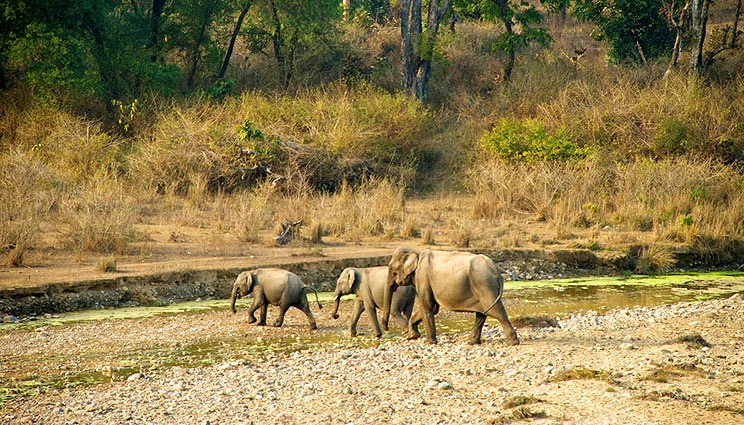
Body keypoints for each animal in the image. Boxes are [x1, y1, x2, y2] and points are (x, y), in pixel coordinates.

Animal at [380, 248, 520, 344]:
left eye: (390, 268)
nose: (386, 328)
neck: (416, 252)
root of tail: (496, 268)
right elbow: (432, 307)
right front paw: (412, 336)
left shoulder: (422, 277)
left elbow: (428, 306)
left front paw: (429, 342)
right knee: (482, 313)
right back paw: (471, 342)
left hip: (484, 284)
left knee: (496, 311)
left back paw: (512, 343)